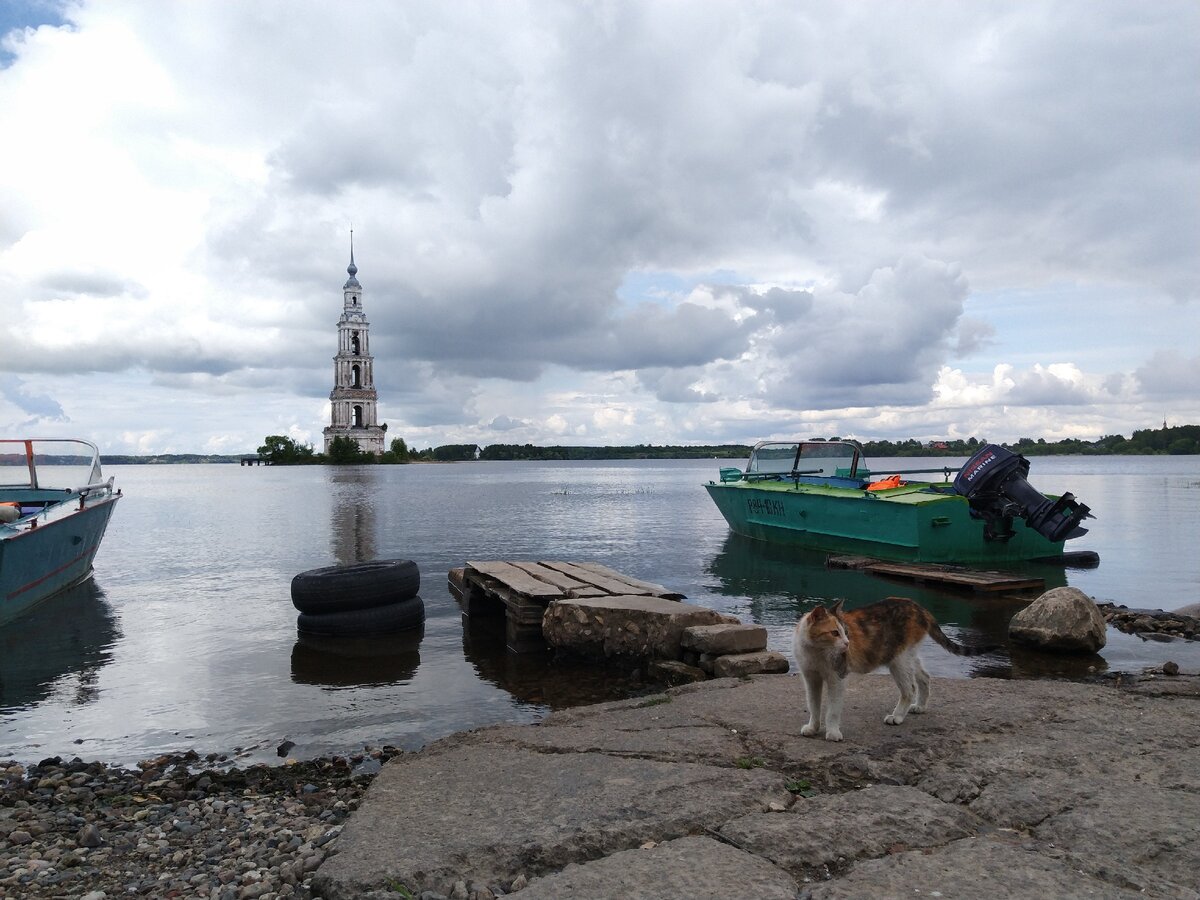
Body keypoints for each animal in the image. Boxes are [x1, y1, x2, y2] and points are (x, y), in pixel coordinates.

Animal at [796, 595, 993, 744]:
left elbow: (833, 709)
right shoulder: (811, 678)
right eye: (835, 633)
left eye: (846, 632)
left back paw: (897, 716)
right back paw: (920, 706)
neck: (816, 652)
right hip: (908, 657)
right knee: (925, 677)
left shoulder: (838, 677)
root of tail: (919, 607)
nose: (847, 643)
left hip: (899, 660)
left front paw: (832, 732)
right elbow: (813, 705)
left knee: (910, 688)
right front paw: (813, 727)